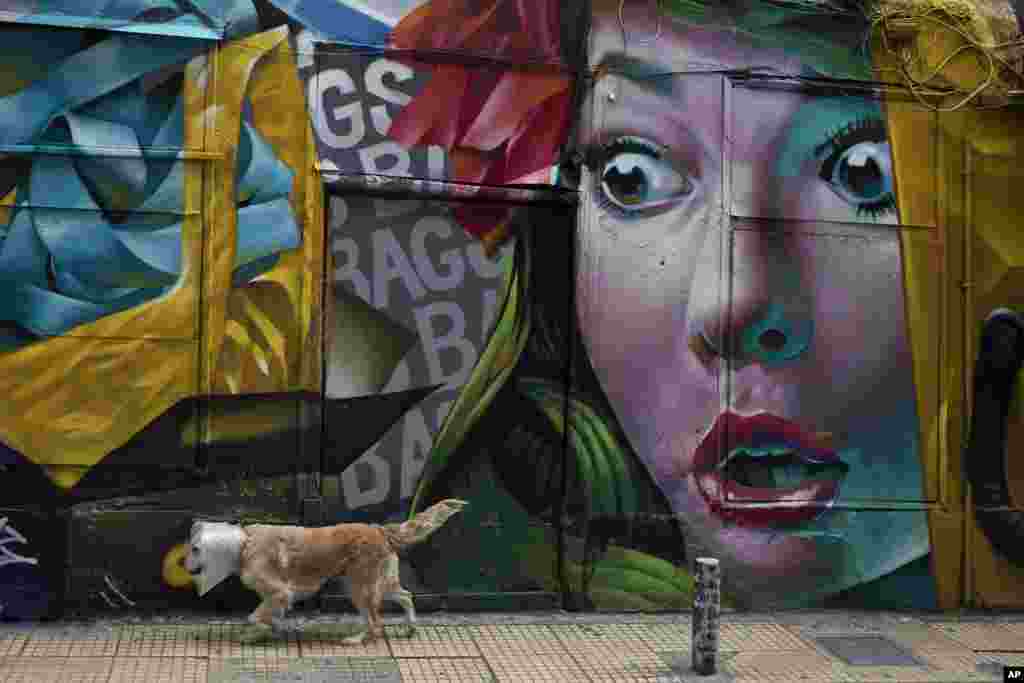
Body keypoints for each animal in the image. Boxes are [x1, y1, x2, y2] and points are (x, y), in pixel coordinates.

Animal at [186, 501, 466, 643]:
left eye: (195, 549)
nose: (183, 565)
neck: (244, 543)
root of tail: (379, 529)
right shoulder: (278, 598)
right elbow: (268, 615)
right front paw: (270, 629)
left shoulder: (280, 592)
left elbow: (254, 616)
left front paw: (258, 629)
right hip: (378, 583)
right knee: (406, 596)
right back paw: (410, 628)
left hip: (360, 588)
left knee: (376, 623)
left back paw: (357, 639)